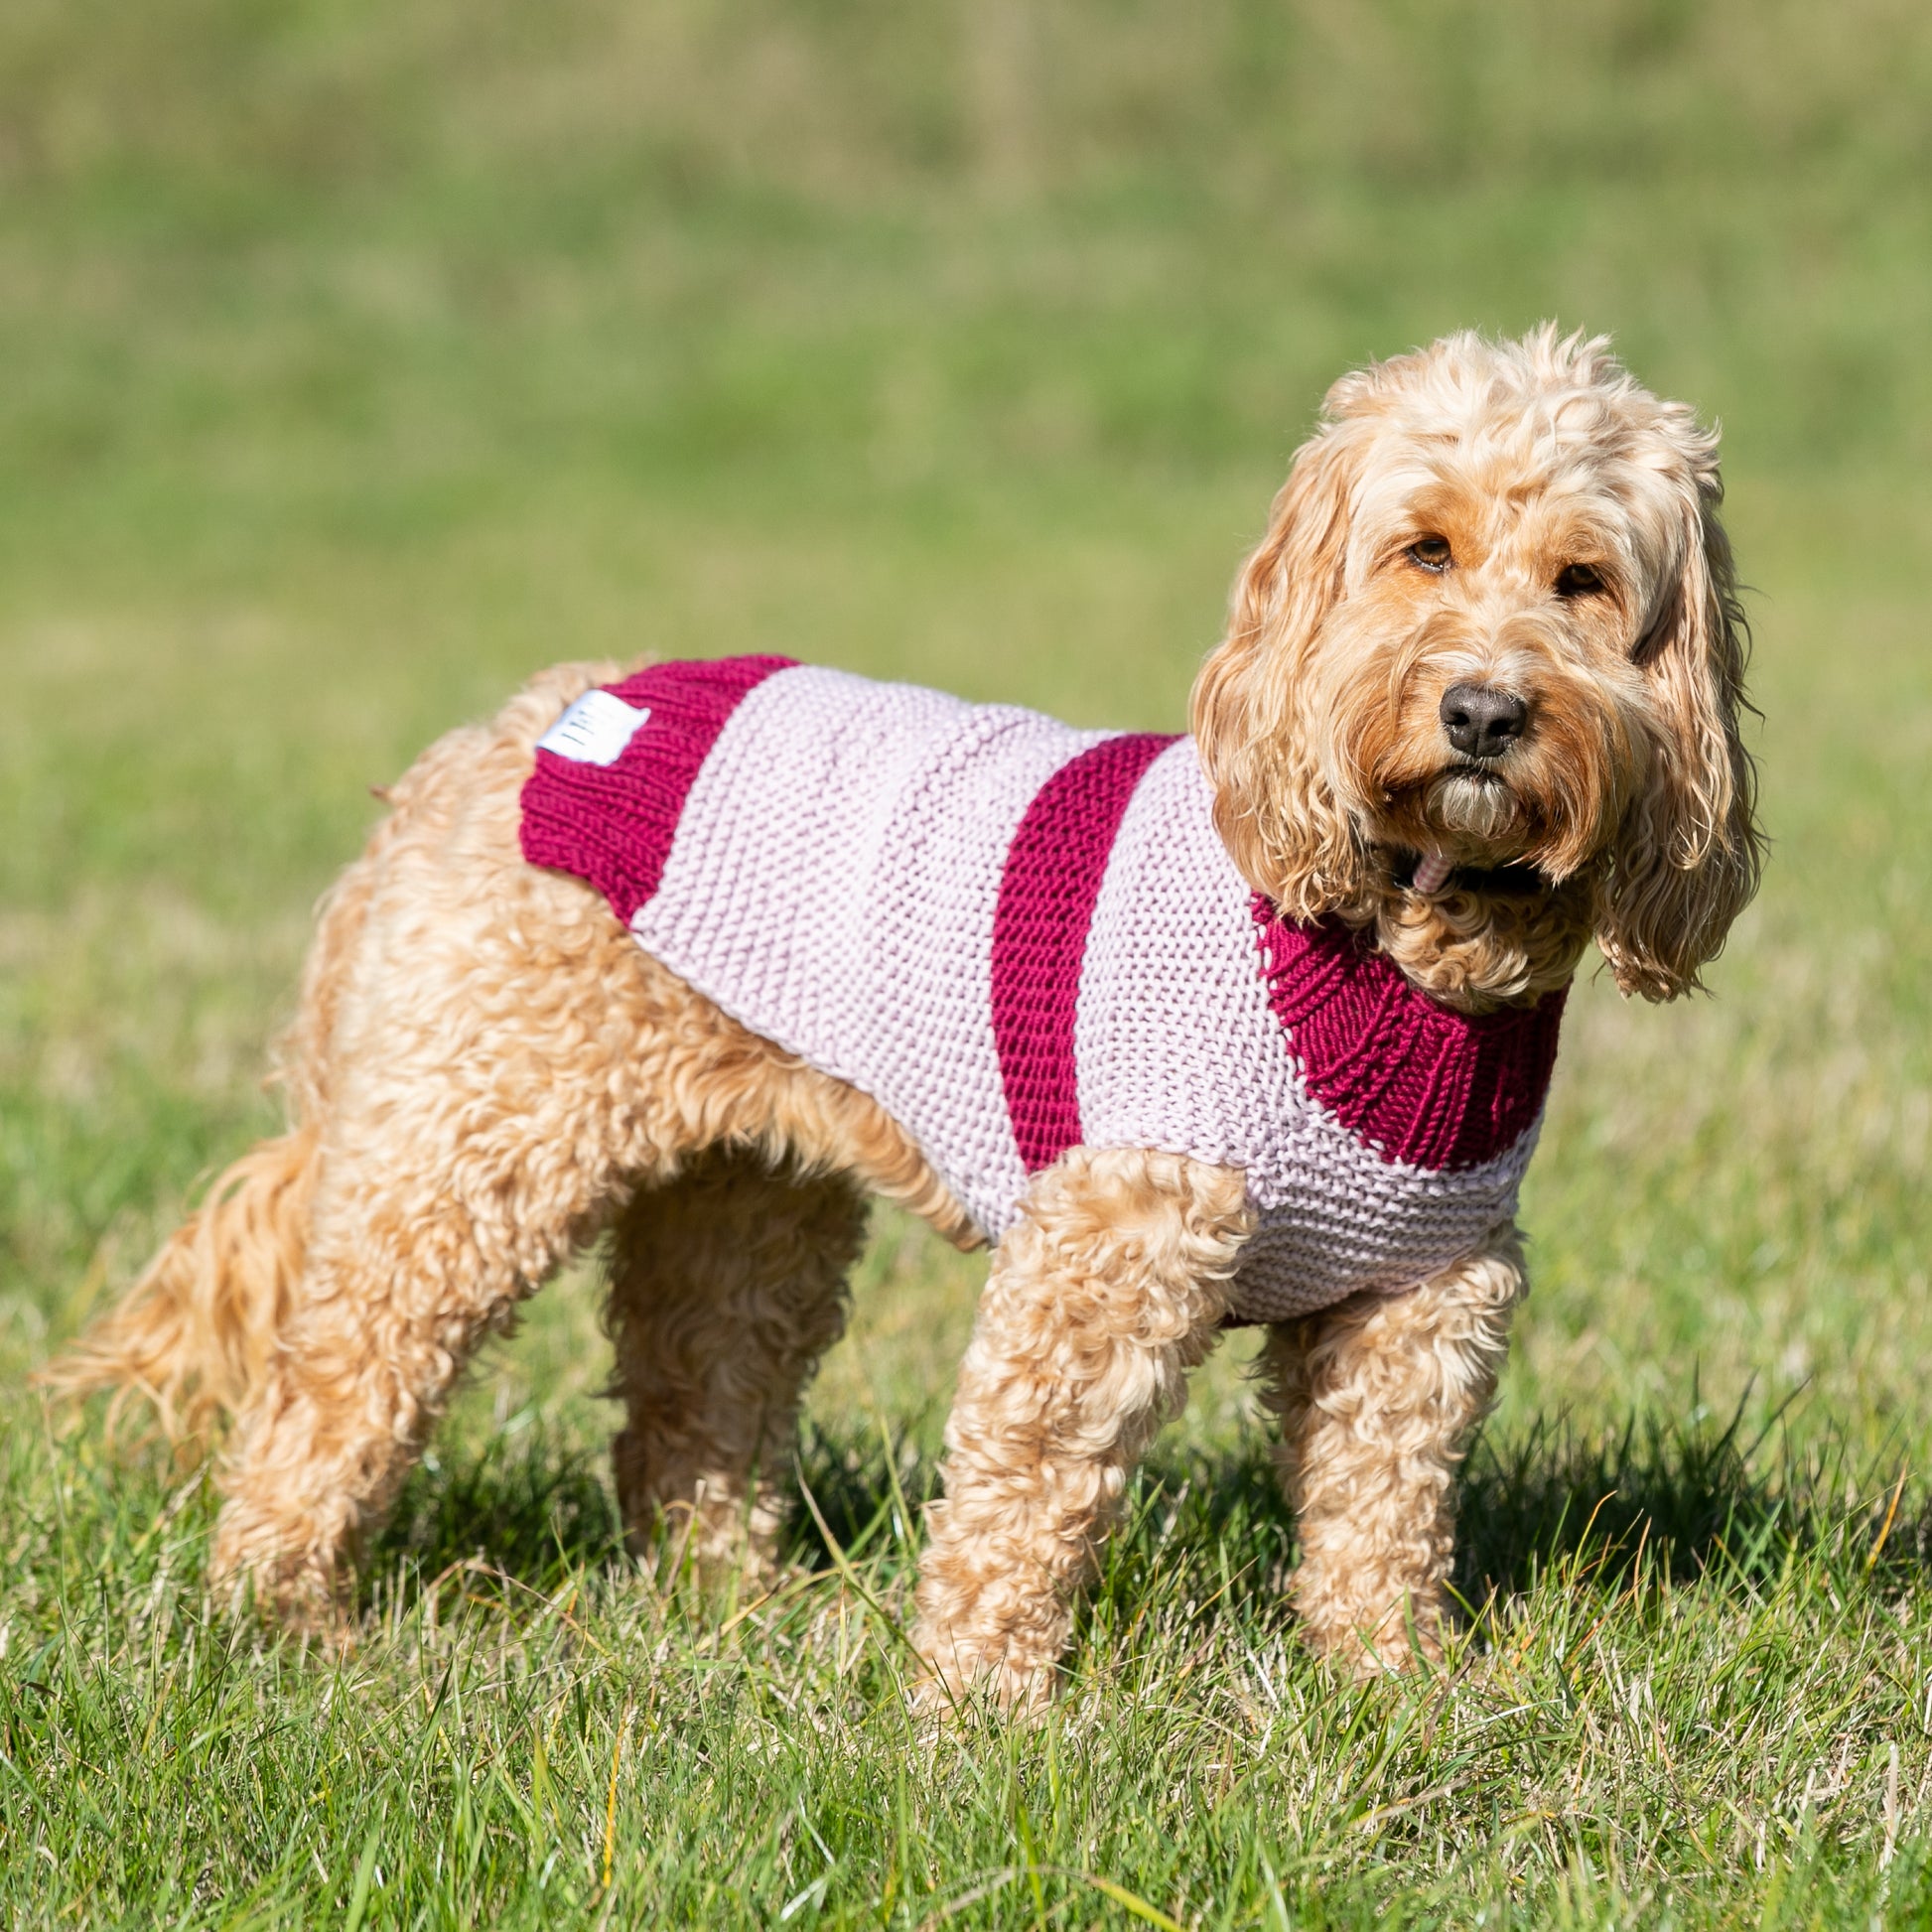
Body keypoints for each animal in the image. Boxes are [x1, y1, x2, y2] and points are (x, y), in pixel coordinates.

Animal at [45, 328, 1769, 1708]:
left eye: (1583, 582)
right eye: (1420, 550)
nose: (1482, 709)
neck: (1395, 945)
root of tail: (482, 746)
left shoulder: (1425, 1294)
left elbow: (1380, 1509)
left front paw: (1395, 1686)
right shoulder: (1111, 1251)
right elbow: (1023, 1496)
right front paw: (979, 1716)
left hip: (741, 1201)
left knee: (688, 1414)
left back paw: (736, 1607)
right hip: (466, 1152)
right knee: (330, 1387)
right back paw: (282, 1615)